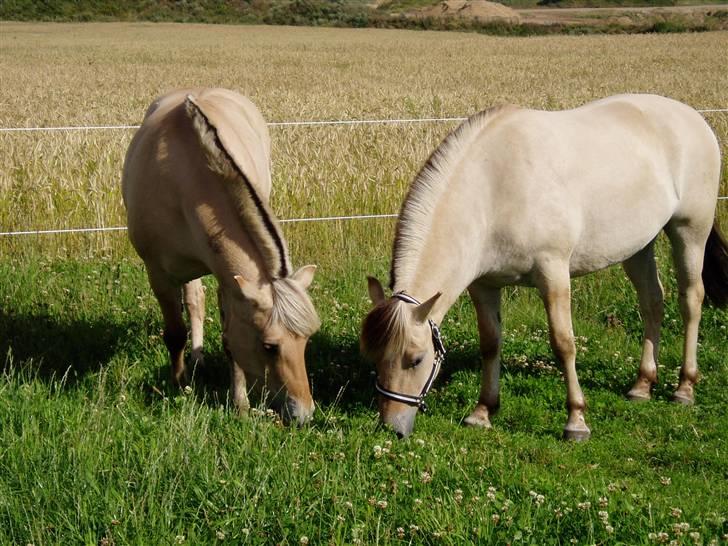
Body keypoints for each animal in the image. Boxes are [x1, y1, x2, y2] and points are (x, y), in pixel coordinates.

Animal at [123, 88, 320, 420]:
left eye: (307, 340)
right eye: (269, 347)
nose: (303, 414)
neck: (185, 177)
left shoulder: (231, 283)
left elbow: (230, 341)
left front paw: (240, 402)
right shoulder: (158, 273)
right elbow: (175, 333)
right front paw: (179, 383)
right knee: (193, 302)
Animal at [362, 94, 728, 438]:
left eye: (416, 359)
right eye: (374, 357)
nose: (392, 427)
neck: (494, 189)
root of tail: (693, 117)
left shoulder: (553, 274)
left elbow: (563, 343)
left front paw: (576, 421)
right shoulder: (484, 285)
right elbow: (490, 343)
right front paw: (483, 411)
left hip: (689, 231)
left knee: (691, 300)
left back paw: (684, 387)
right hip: (638, 245)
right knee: (653, 301)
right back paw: (642, 385)